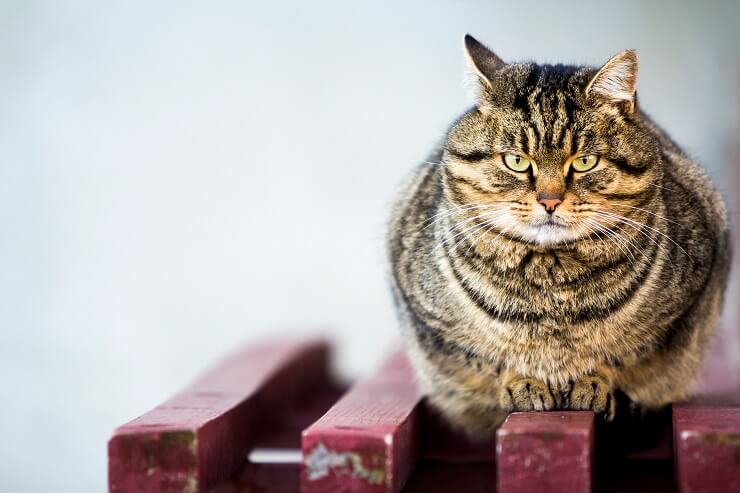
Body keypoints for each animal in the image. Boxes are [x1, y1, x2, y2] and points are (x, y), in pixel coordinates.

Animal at [390, 34, 732, 432]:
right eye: (517, 161)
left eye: (584, 162)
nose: (549, 201)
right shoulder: (432, 323)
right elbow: (489, 359)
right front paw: (522, 381)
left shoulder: (685, 308)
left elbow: (624, 356)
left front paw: (594, 381)